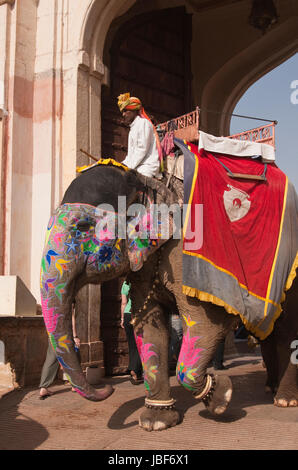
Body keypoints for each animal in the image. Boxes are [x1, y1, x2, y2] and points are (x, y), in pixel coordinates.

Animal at [41, 160, 298, 432]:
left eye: (81, 227)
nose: (108, 388)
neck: (150, 185)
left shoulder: (189, 259)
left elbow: (204, 323)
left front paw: (222, 397)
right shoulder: (144, 264)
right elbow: (150, 329)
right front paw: (156, 421)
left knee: (285, 332)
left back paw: (285, 400)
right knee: (269, 333)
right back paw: (271, 388)